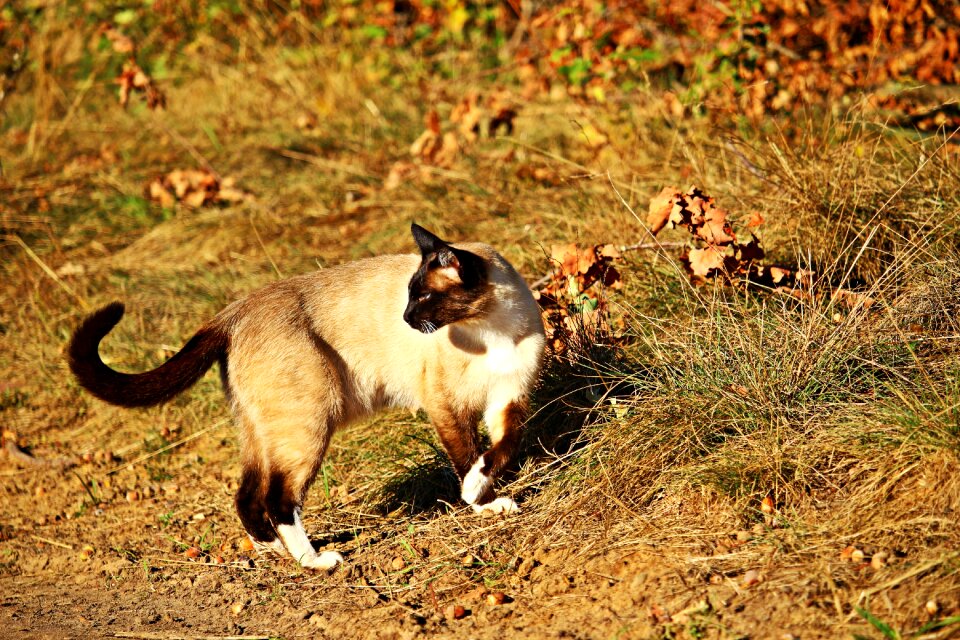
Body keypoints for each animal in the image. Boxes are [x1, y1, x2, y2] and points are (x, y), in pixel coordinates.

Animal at [66, 225, 544, 568]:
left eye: (422, 296)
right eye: (410, 296)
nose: (407, 319)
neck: (491, 330)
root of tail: (233, 310)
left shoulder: (508, 401)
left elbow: (502, 448)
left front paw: (490, 496)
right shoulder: (446, 405)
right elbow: (468, 458)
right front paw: (479, 500)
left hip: (265, 432)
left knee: (247, 496)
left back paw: (275, 551)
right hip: (309, 426)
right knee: (278, 499)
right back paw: (315, 561)